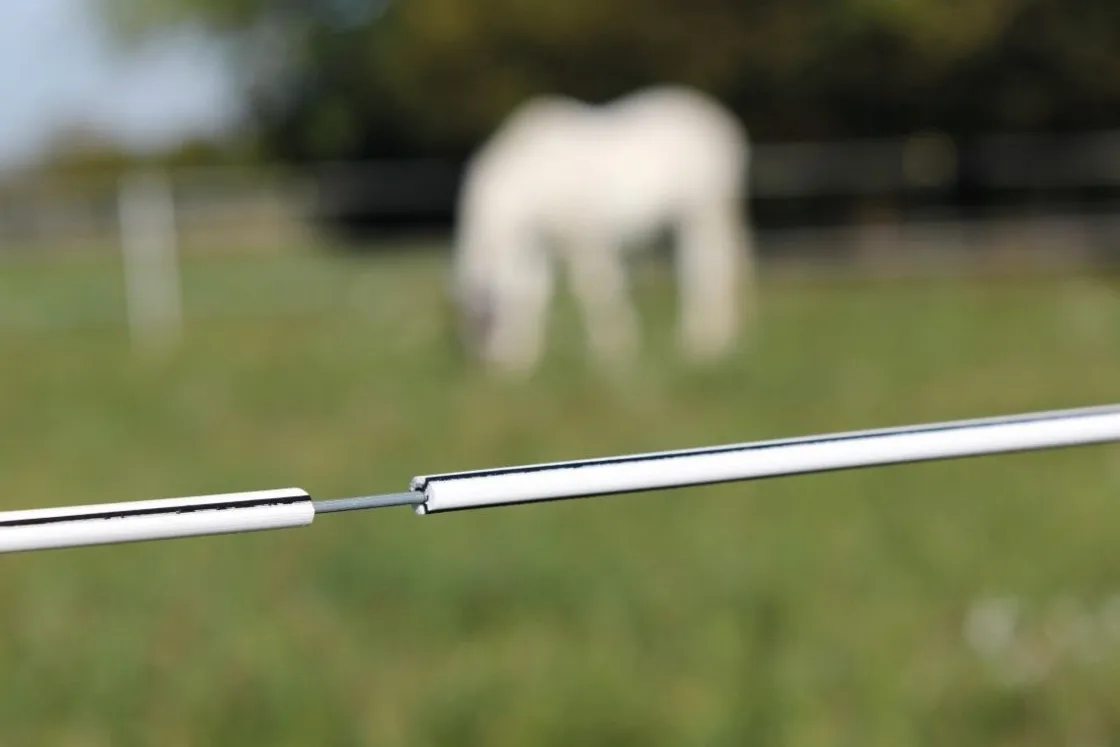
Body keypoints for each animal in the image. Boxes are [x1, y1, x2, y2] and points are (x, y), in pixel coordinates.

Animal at [451, 85, 756, 376]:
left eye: (486, 321)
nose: (491, 366)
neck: (535, 177)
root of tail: (723, 124)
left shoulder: (586, 240)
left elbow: (595, 290)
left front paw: (613, 351)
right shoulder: (539, 246)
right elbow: (533, 292)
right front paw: (525, 361)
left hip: (704, 214)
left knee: (708, 270)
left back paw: (705, 344)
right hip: (682, 224)